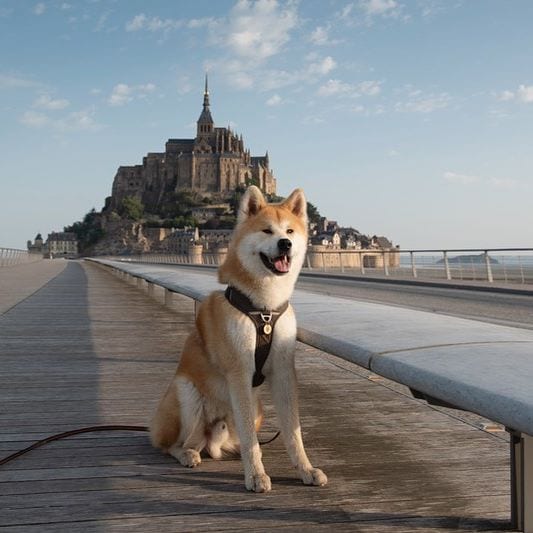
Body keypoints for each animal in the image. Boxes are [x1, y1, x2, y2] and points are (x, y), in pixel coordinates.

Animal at [148, 186, 326, 490]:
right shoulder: (239, 372)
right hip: (188, 395)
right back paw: (187, 454)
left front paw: (305, 468)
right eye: (267, 231)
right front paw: (255, 474)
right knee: (177, 443)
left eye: (290, 231)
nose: (285, 244)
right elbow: (249, 439)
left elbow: (293, 431)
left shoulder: (283, 372)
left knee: (220, 443)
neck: (264, 309)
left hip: (257, 408)